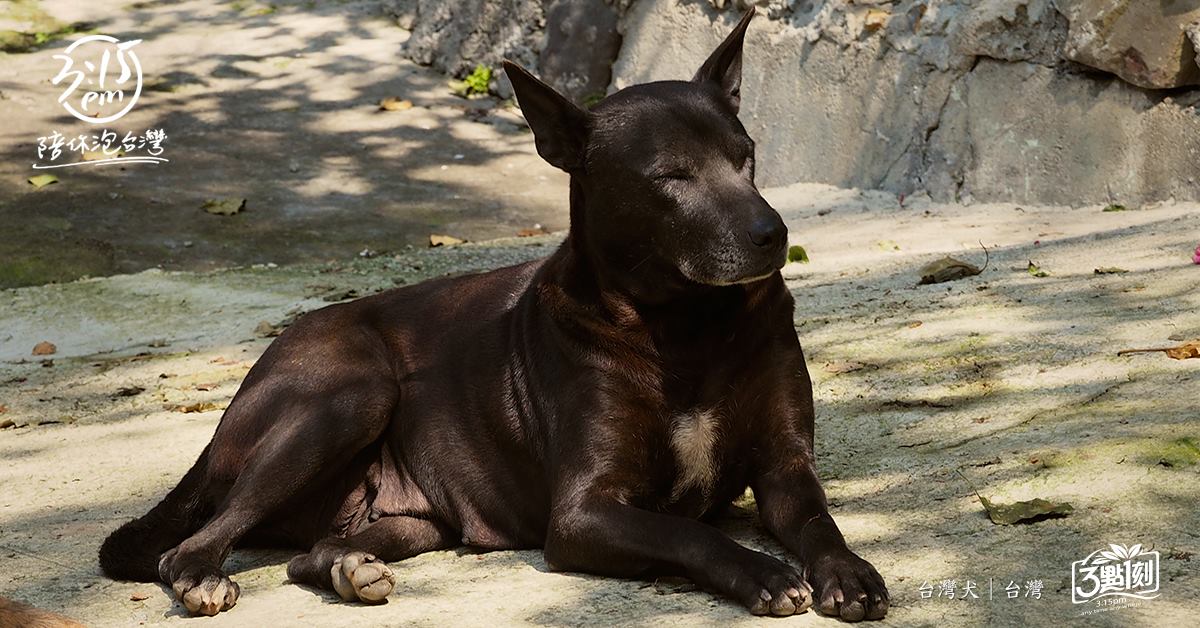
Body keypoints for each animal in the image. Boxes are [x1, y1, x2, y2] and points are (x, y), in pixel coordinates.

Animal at [103, 7, 888, 619]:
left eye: (746, 155)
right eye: (671, 176)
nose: (773, 234)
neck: (687, 326)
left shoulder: (784, 467)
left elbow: (818, 521)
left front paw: (848, 572)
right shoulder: (581, 514)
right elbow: (691, 534)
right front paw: (761, 572)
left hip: (411, 521)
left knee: (312, 555)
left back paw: (348, 569)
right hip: (351, 392)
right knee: (190, 546)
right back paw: (203, 575)